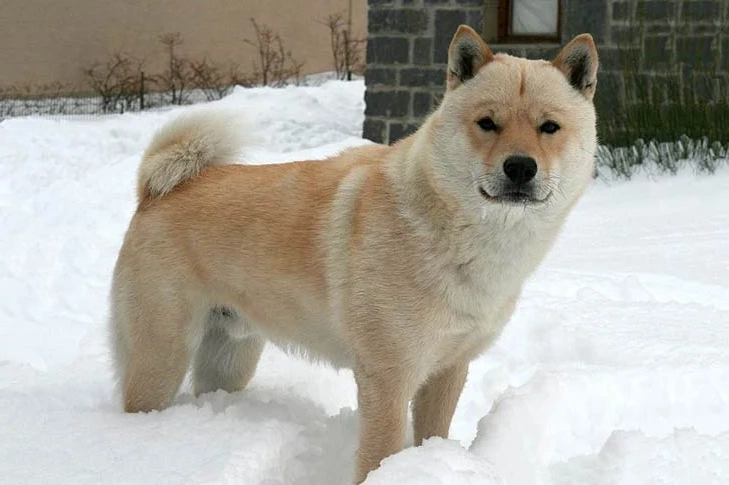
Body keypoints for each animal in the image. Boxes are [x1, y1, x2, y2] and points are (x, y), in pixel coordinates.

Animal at [108, 25, 596, 480]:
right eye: (487, 123)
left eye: (549, 127)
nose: (520, 167)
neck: (462, 234)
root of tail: (155, 191)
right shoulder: (389, 376)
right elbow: (380, 453)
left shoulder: (449, 368)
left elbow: (433, 434)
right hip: (162, 355)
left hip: (229, 357)